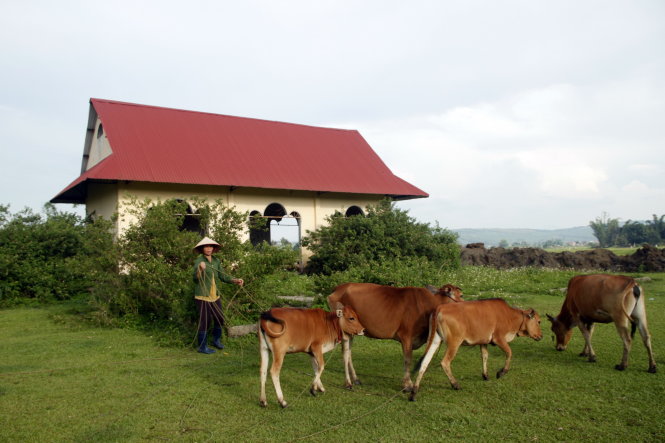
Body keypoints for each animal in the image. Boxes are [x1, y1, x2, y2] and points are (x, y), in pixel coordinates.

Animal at [326, 282, 462, 390]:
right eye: (461, 295)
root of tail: (339, 287)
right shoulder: (406, 336)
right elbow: (408, 359)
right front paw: (407, 384)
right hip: (345, 330)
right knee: (345, 354)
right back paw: (348, 383)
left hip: (353, 331)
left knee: (349, 353)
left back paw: (356, 379)